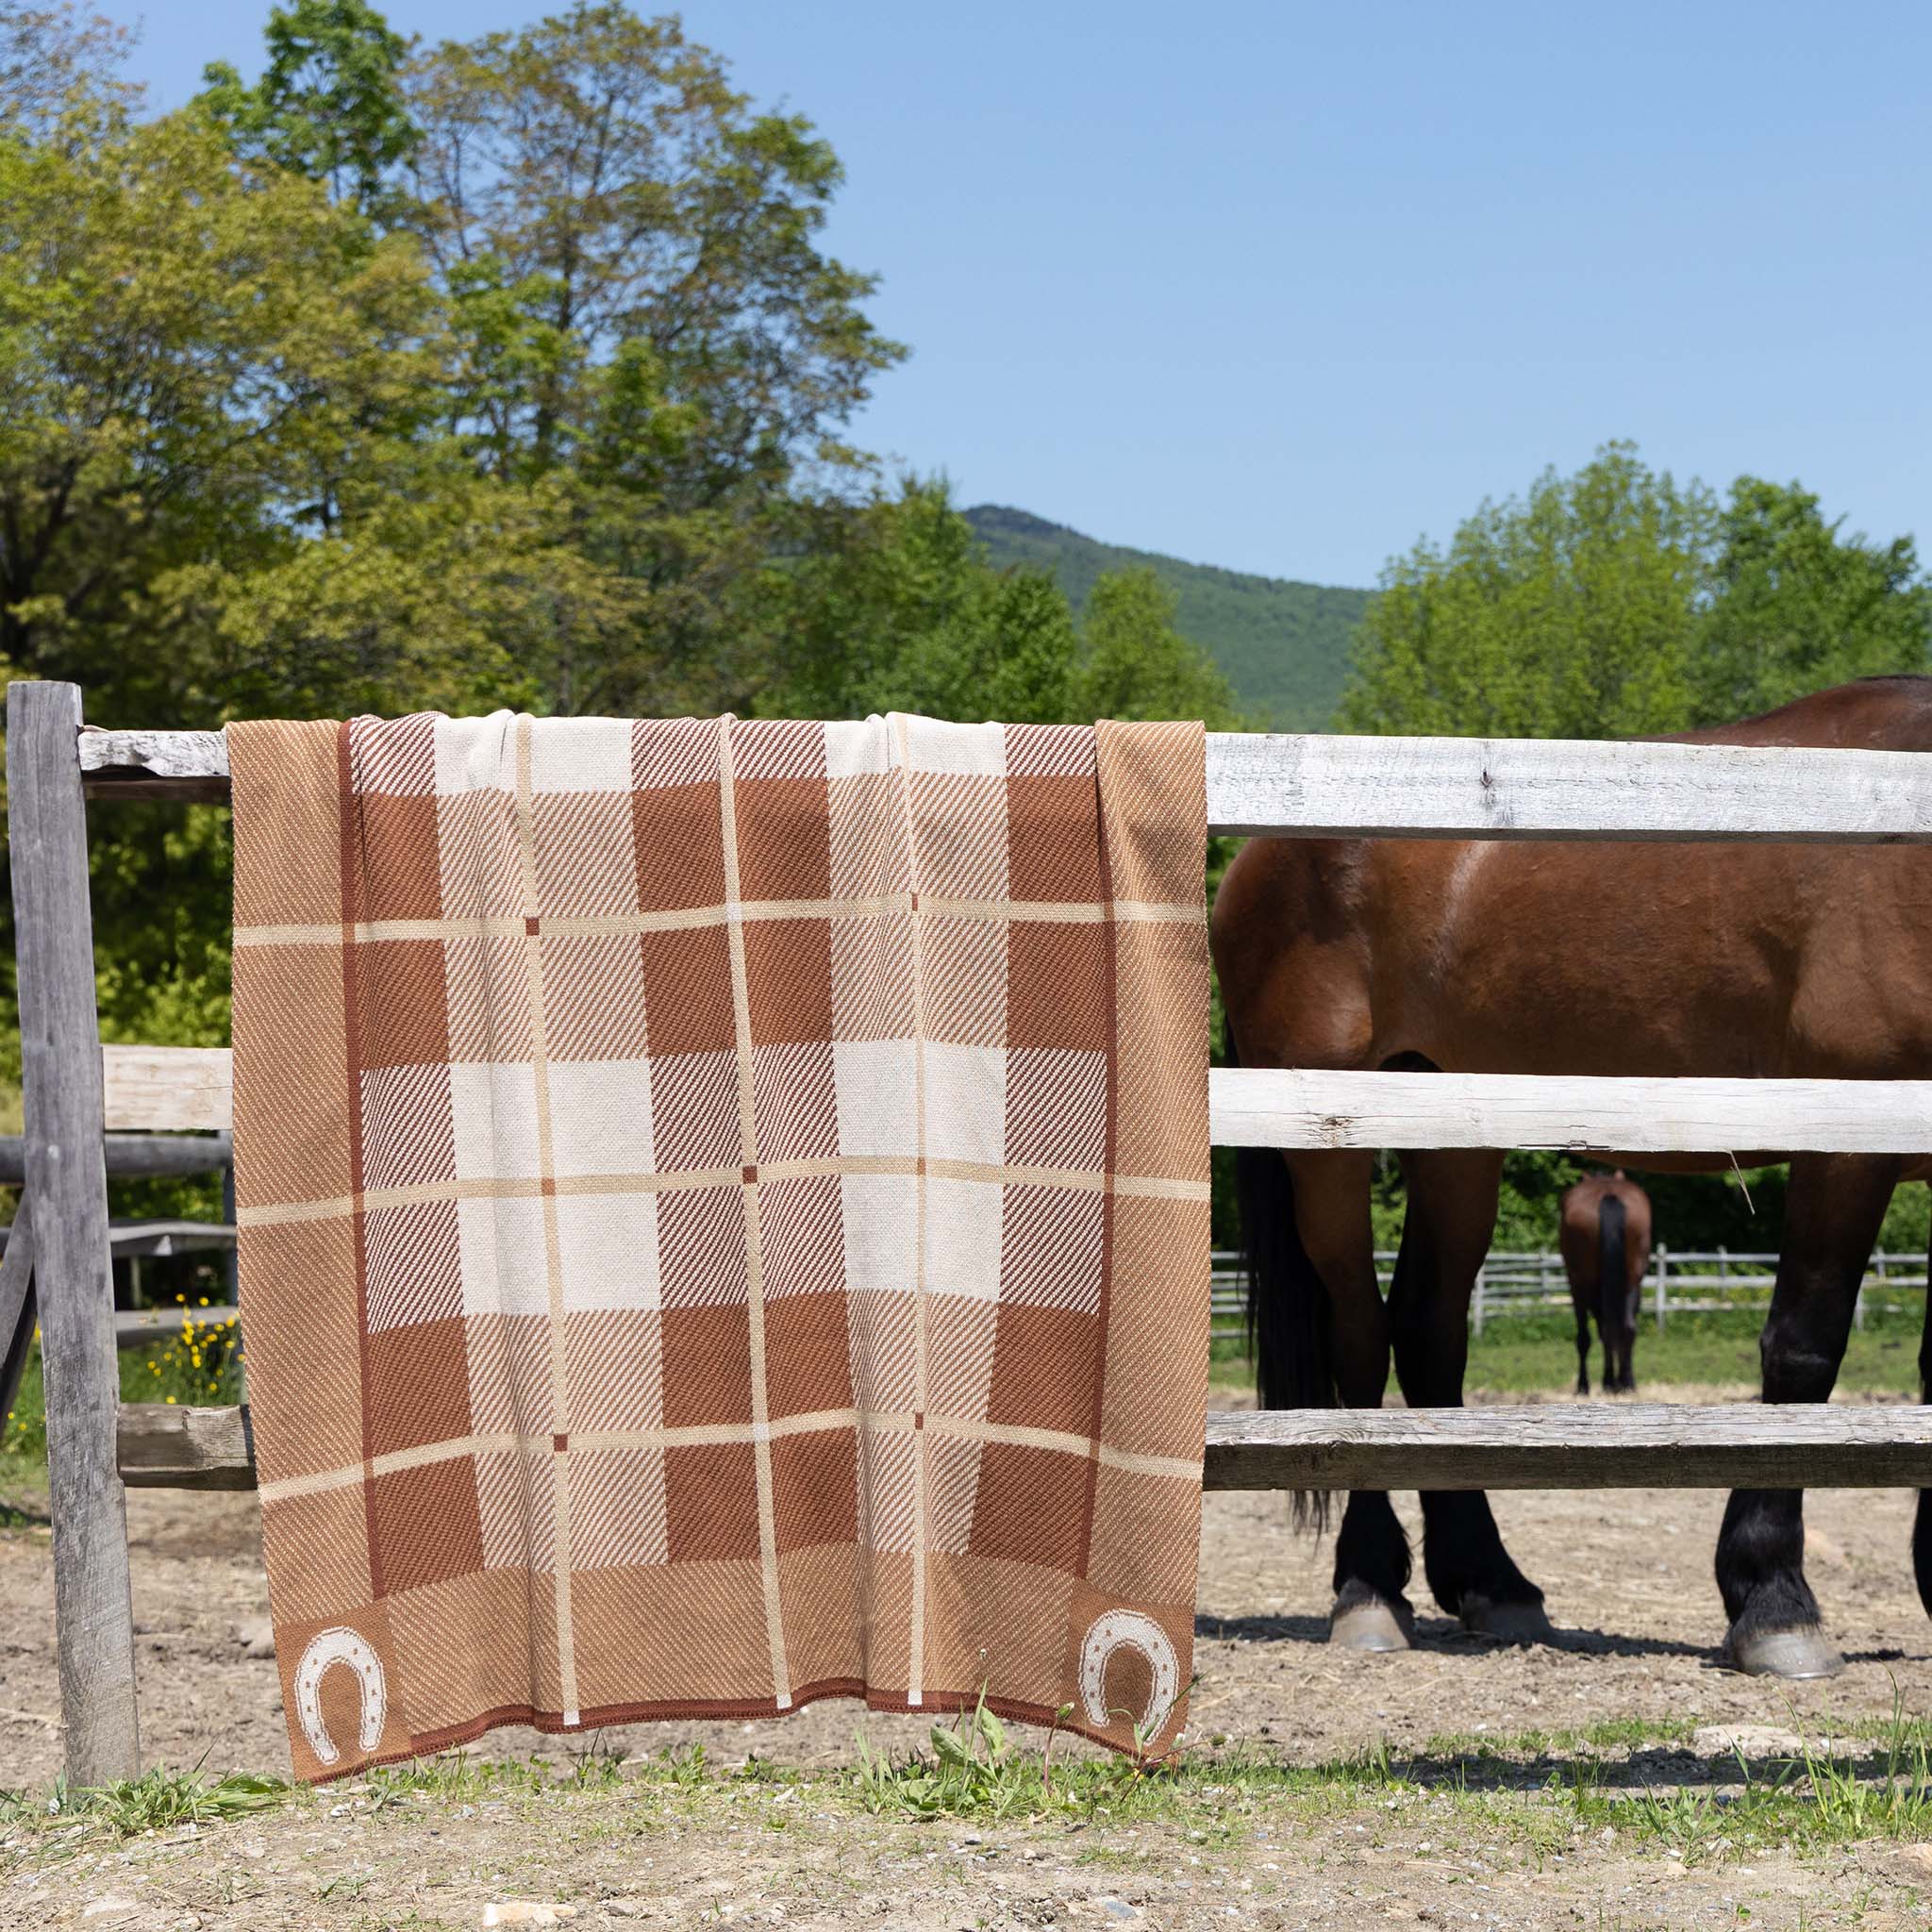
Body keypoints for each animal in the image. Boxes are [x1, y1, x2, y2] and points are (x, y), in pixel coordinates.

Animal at [1559, 1172, 1652, 1395]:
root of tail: (1609, 1194)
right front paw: (1617, 1380)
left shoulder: (1577, 1286)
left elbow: (1587, 1337)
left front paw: (1589, 1384)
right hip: (1632, 1280)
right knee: (1627, 1327)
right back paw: (1627, 1382)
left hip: (1580, 1284)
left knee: (1590, 1335)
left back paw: (1597, 1383)